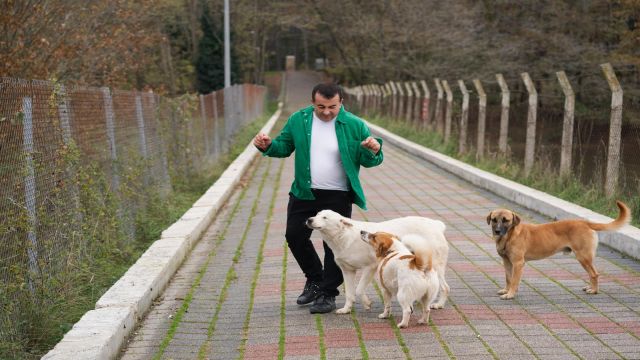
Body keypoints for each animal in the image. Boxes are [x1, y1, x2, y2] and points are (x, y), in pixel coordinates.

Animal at [306, 210, 450, 314]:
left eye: (325, 217)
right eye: (316, 214)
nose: (309, 219)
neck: (343, 237)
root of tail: (435, 224)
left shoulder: (370, 267)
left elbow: (359, 290)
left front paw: (366, 303)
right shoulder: (347, 271)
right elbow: (350, 294)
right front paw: (347, 309)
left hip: (435, 267)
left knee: (445, 287)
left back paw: (439, 304)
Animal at [484, 201, 632, 300]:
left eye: (505, 220)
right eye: (494, 219)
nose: (497, 231)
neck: (509, 236)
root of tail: (585, 222)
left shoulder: (518, 263)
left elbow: (514, 281)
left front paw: (510, 294)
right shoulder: (507, 262)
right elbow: (508, 278)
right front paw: (506, 290)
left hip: (583, 257)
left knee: (594, 274)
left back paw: (594, 291)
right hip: (585, 258)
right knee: (592, 274)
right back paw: (590, 287)